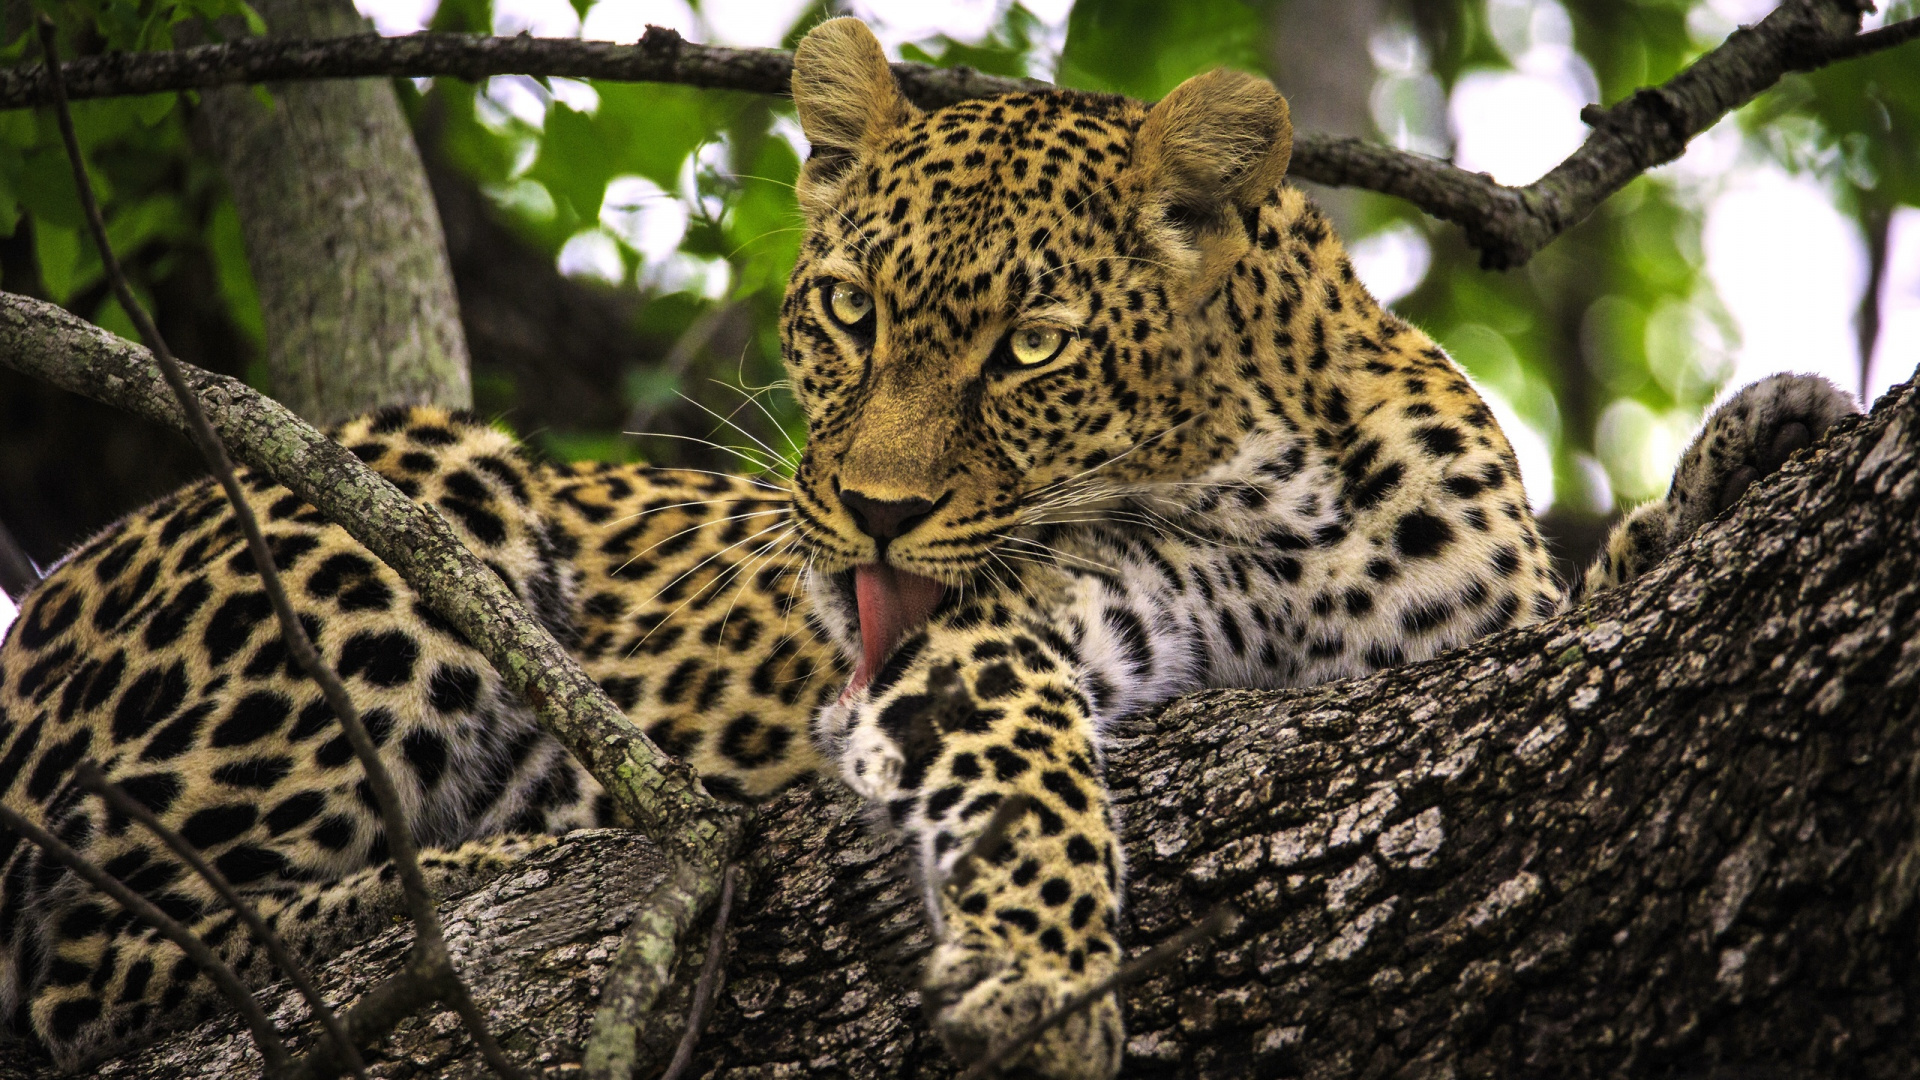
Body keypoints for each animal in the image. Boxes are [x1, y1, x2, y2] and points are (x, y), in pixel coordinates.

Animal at [0, 15, 1859, 1078]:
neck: (1283, 510)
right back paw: (468, 873)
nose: (874, 514)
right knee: (84, 945)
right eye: (845, 309)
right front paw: (1041, 972)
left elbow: (1593, 592)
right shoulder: (988, 632)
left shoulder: (1475, 634)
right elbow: (1025, 756)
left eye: (1030, 346)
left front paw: (1742, 454)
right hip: (402, 488)